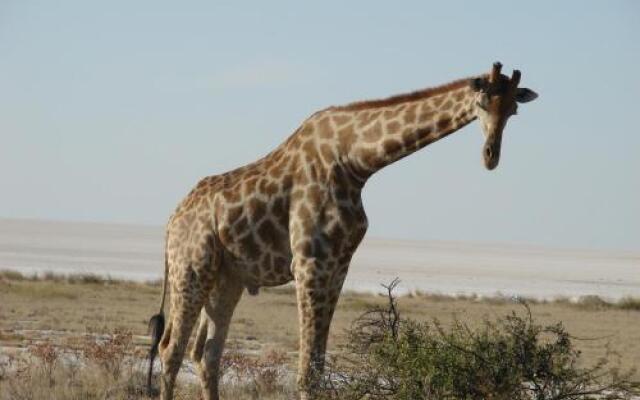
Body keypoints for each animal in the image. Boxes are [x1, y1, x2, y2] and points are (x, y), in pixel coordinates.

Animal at [148, 62, 536, 400]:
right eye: (481, 103)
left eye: (514, 110)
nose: (491, 156)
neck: (356, 162)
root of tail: (171, 222)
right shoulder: (310, 263)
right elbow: (307, 371)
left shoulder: (338, 265)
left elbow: (319, 367)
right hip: (191, 269)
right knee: (171, 349)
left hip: (227, 279)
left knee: (207, 353)